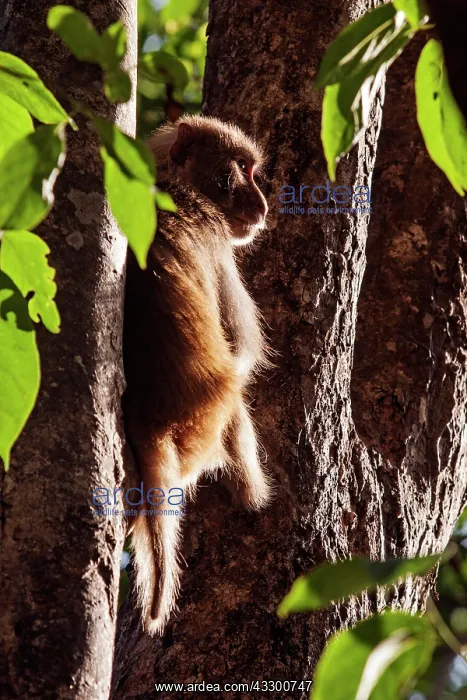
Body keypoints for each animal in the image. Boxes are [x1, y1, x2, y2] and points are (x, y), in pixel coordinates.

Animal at [122, 115, 272, 636]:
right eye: (243, 169)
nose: (263, 204)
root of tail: (144, 412)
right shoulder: (214, 238)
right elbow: (244, 351)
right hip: (202, 422)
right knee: (235, 391)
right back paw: (251, 489)